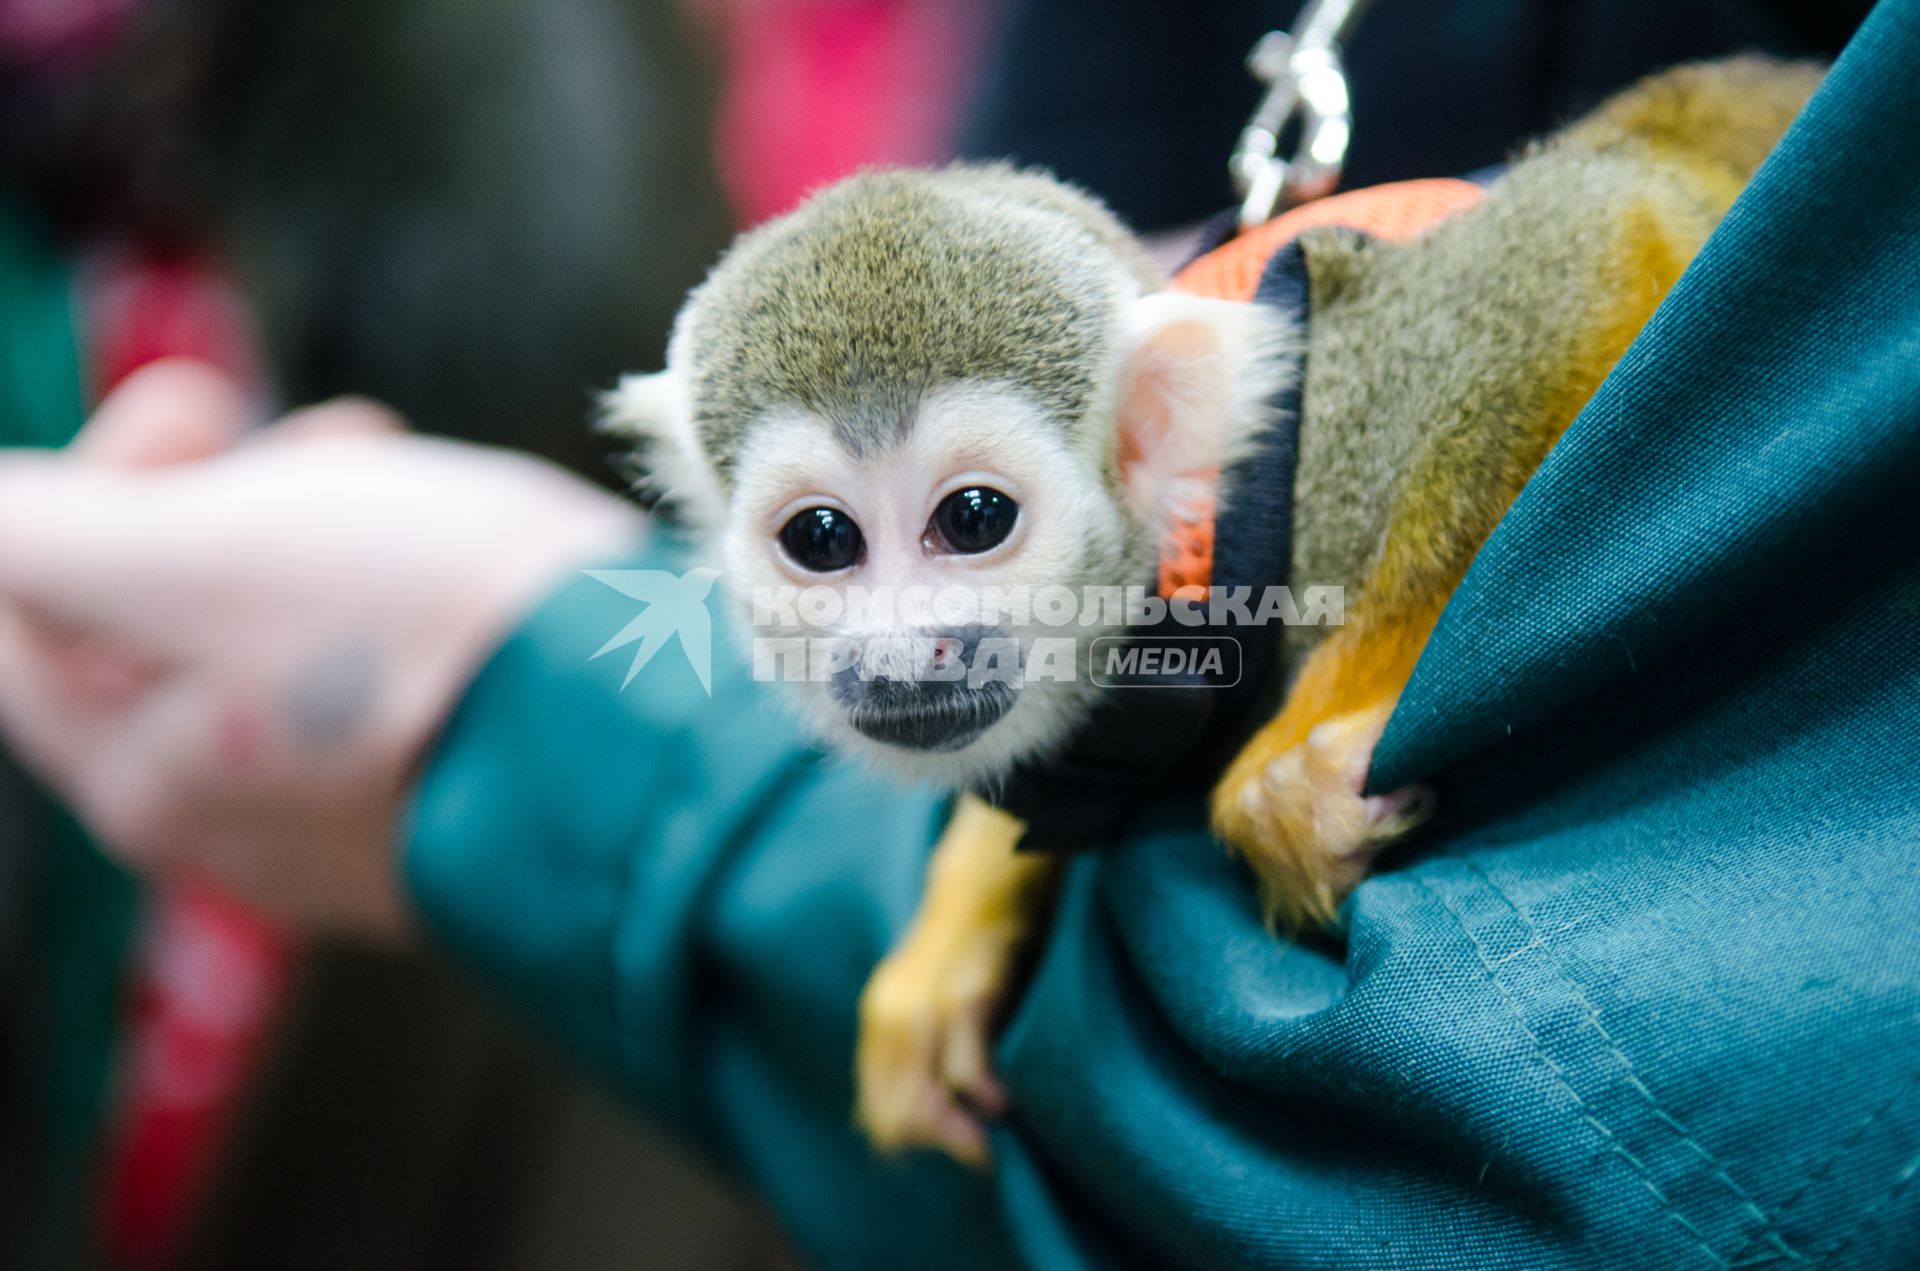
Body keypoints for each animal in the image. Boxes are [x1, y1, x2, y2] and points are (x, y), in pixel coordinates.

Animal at [606, 64, 1820, 1167]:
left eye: (974, 518)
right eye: (822, 539)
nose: (908, 656)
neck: (1180, 556)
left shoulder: (1327, 429)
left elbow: (1586, 233)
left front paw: (1285, 781)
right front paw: (955, 931)